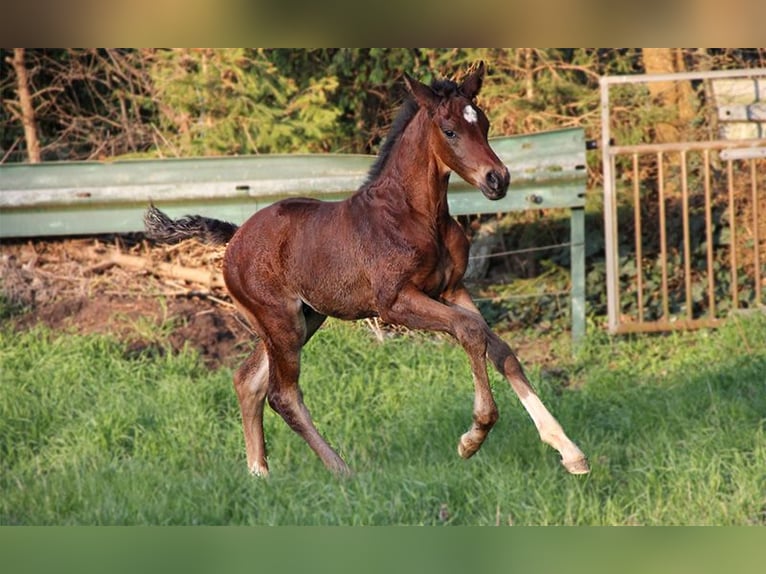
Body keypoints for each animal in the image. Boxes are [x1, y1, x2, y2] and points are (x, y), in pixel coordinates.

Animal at [147, 62, 592, 476]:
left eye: (483, 123)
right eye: (449, 130)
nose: (497, 179)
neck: (415, 214)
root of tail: (235, 236)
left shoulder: (453, 289)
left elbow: (500, 349)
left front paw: (569, 451)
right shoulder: (395, 303)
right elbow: (469, 332)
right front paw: (474, 436)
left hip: (303, 319)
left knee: (248, 380)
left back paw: (260, 475)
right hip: (281, 323)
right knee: (282, 395)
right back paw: (342, 472)